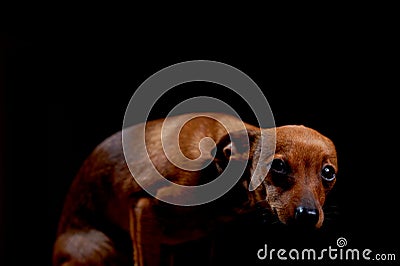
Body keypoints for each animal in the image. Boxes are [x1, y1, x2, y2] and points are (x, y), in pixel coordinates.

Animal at [52, 113, 338, 266]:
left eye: (328, 173)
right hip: (99, 252)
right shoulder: (144, 210)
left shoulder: (203, 241)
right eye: (278, 165)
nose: (308, 215)